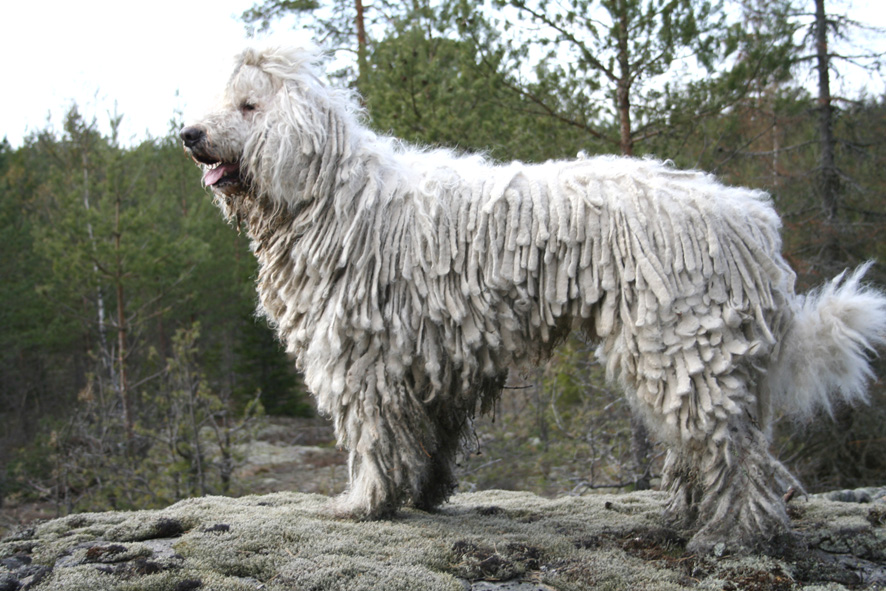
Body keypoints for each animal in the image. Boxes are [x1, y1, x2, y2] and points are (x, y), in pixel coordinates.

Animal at [180, 47, 886, 556]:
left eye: (248, 105)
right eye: (223, 103)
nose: (188, 133)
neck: (332, 198)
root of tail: (753, 223)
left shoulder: (365, 357)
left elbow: (375, 435)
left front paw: (364, 503)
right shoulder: (434, 358)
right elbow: (430, 436)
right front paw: (423, 494)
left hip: (685, 336)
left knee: (735, 451)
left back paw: (729, 535)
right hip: (687, 351)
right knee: (713, 443)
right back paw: (688, 516)